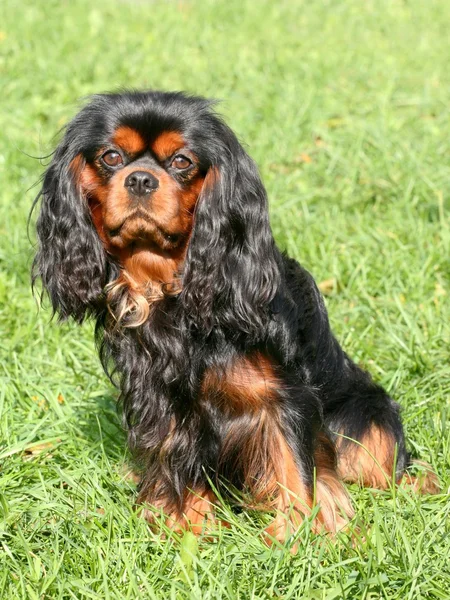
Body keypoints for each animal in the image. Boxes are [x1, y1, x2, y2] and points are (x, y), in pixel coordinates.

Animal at [32, 90, 440, 544]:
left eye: (182, 161)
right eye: (111, 156)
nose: (140, 179)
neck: (170, 286)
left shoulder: (283, 397)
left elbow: (294, 467)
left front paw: (298, 538)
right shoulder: (168, 406)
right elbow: (183, 465)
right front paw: (190, 528)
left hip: (369, 420)